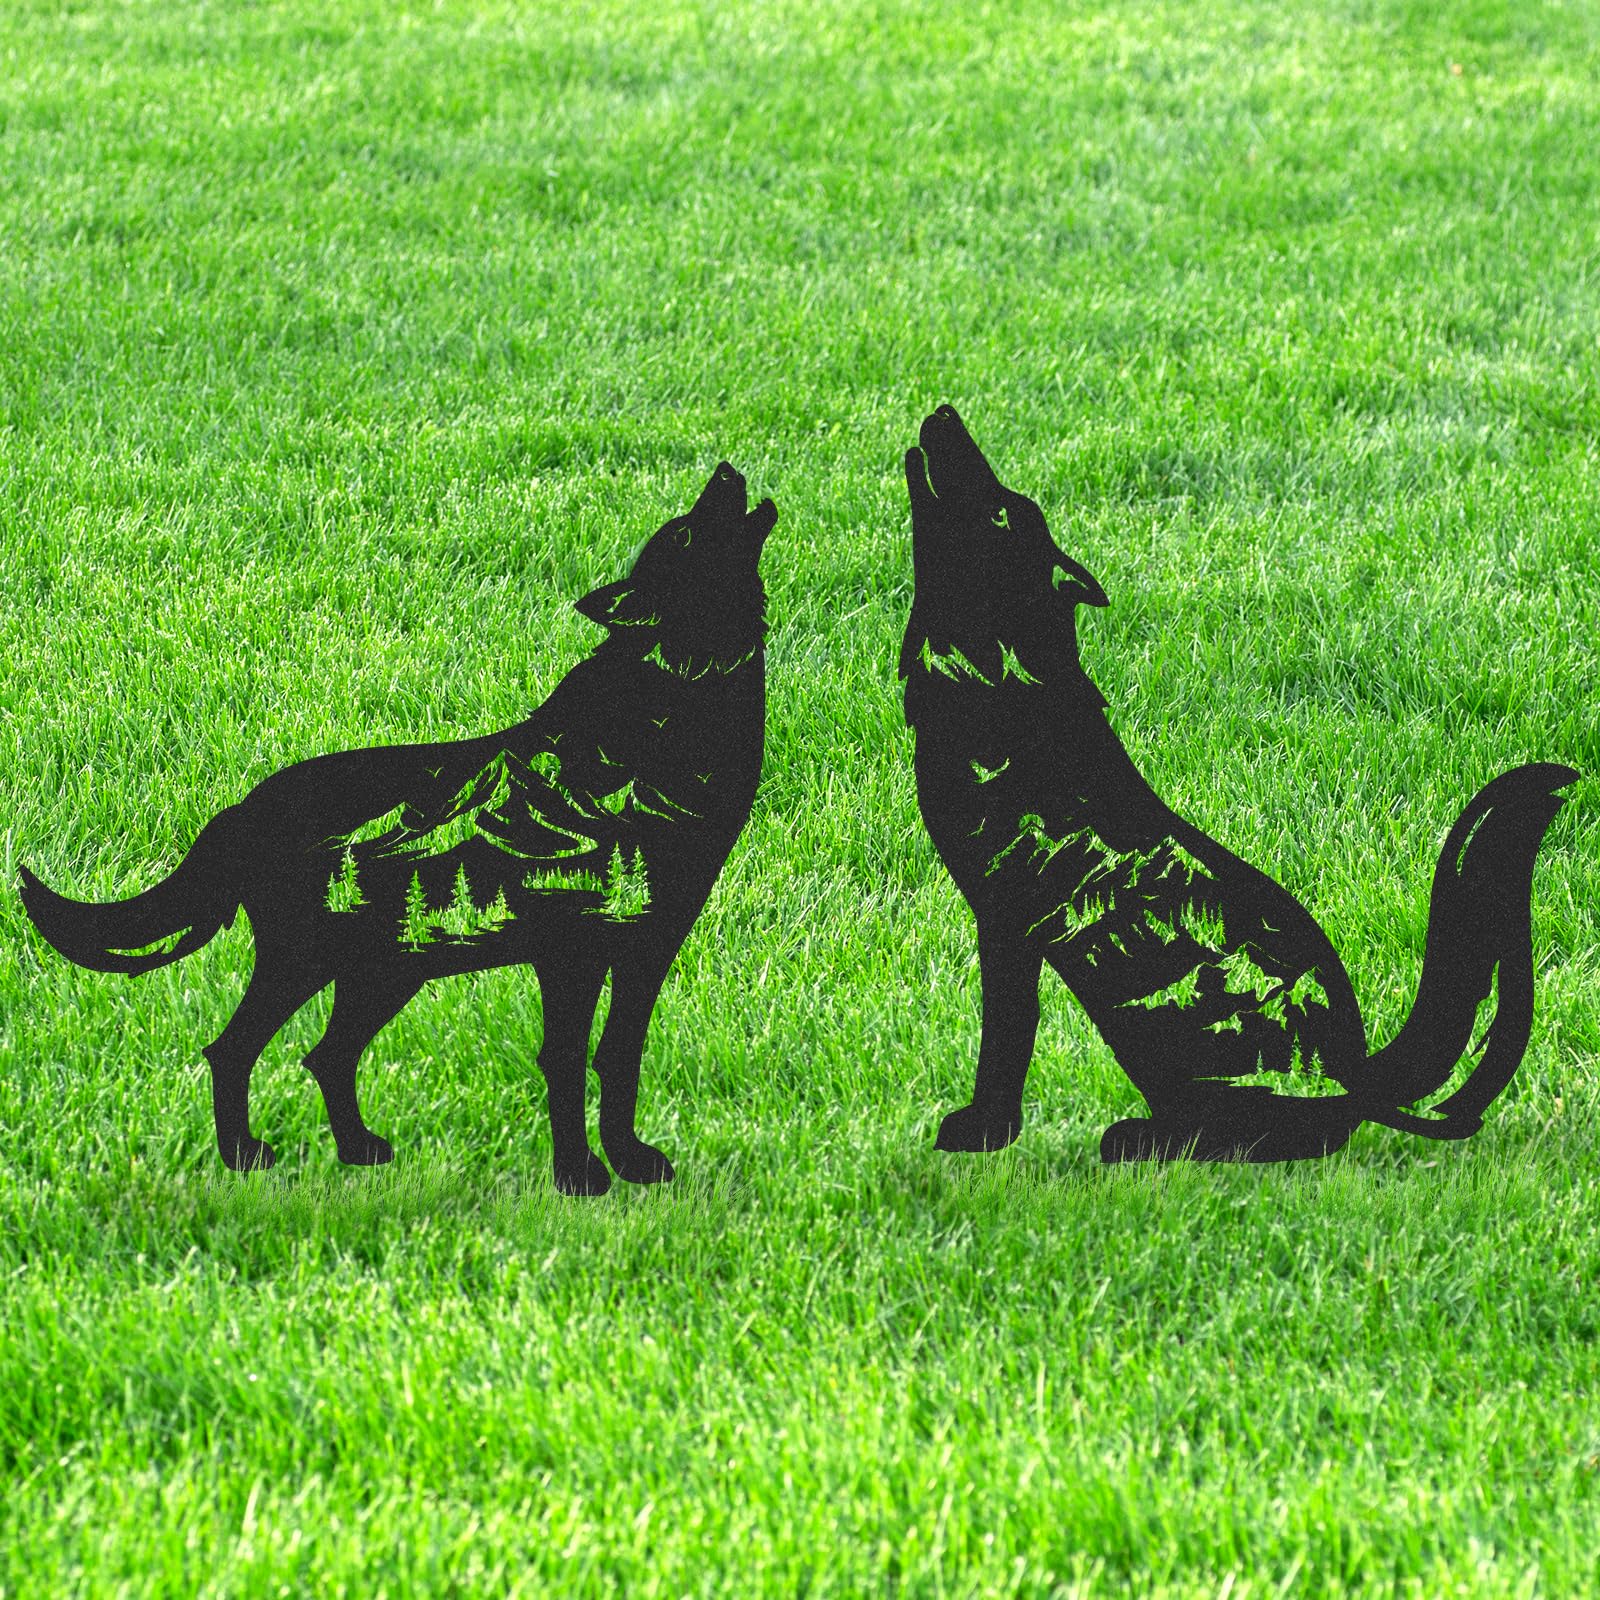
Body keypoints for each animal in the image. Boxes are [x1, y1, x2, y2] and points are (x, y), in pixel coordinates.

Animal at [21, 463, 775, 1194]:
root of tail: (240, 810)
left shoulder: (648, 950)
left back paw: (357, 1152)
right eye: (683, 534)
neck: (673, 710)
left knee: (325, 1056)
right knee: (234, 1049)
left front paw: (632, 1164)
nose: (726, 469)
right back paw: (243, 1158)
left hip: (384, 972)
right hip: (311, 963)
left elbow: (619, 1058)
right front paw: (580, 1178)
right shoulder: (573, 954)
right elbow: (565, 1059)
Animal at [902, 405, 1575, 1163]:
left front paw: (983, 1131)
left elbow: (1005, 1038)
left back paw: (1144, 1137)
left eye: (999, 513)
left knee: (1269, 1126)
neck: (1000, 676)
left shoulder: (1005, 920)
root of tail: (1359, 1076)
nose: (944, 412)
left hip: (1179, 1027)